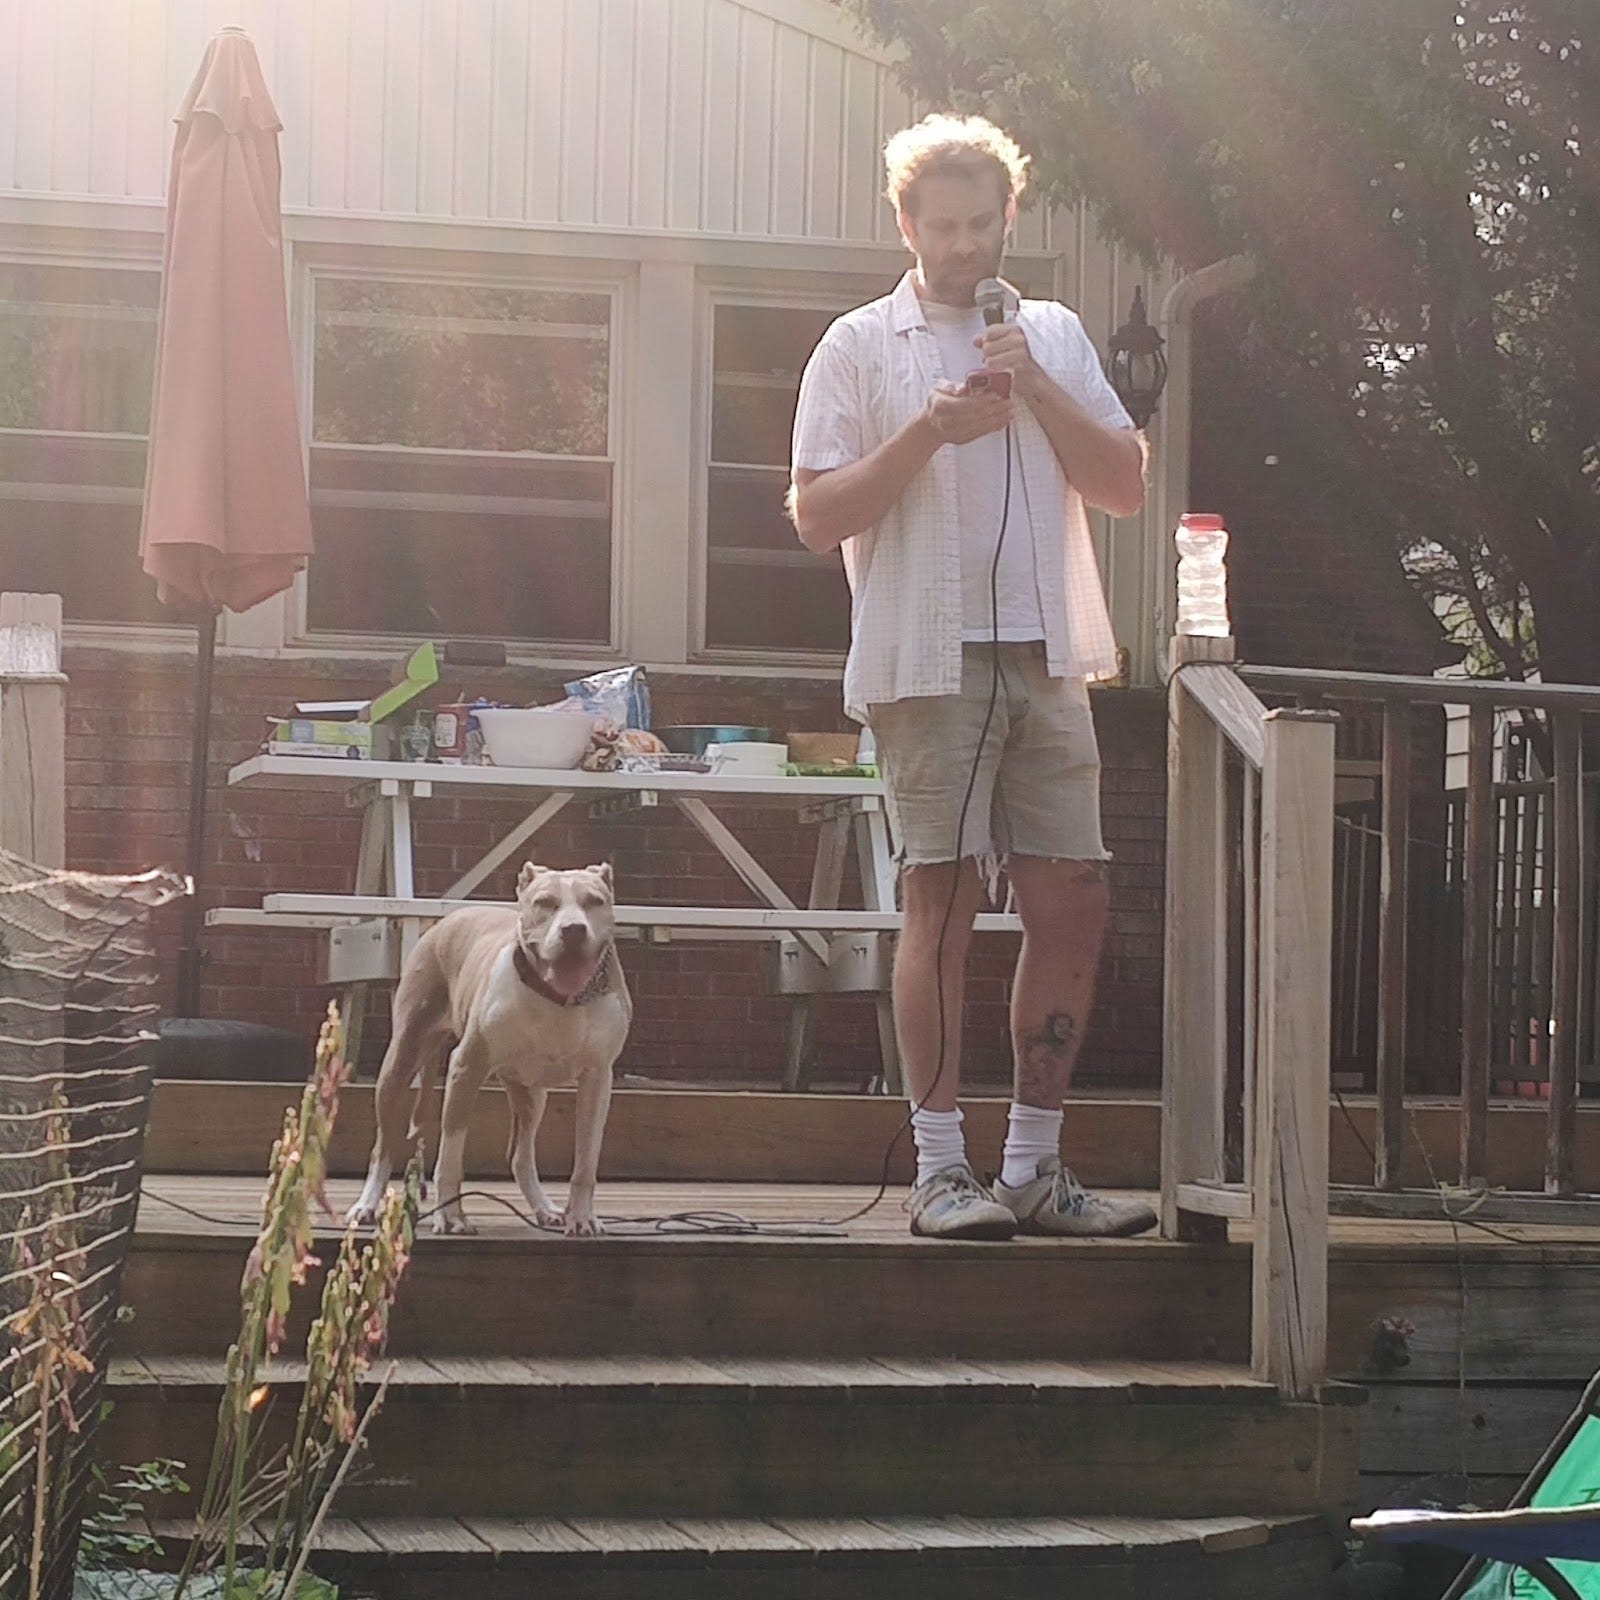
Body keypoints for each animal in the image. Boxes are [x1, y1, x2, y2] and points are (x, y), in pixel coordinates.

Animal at [347, 861, 632, 1237]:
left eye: (594, 901)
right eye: (545, 902)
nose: (573, 930)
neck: (560, 999)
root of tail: (451, 918)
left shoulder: (597, 1078)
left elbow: (586, 1161)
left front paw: (582, 1217)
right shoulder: (466, 1068)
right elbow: (450, 1156)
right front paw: (452, 1217)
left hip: (532, 1093)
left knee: (521, 1156)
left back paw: (545, 1210)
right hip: (399, 1062)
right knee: (383, 1148)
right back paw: (365, 1205)